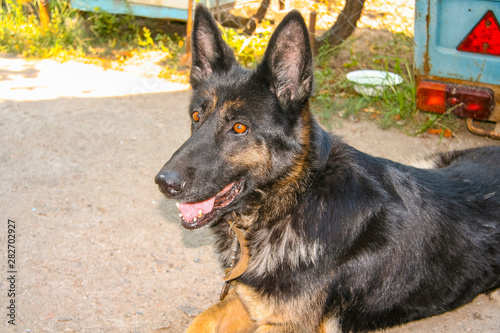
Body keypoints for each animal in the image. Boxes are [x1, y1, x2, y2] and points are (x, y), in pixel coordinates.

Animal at [154, 3, 498, 330]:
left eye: (239, 128)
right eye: (196, 117)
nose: (164, 182)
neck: (294, 200)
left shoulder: (288, 323)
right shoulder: (247, 300)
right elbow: (201, 320)